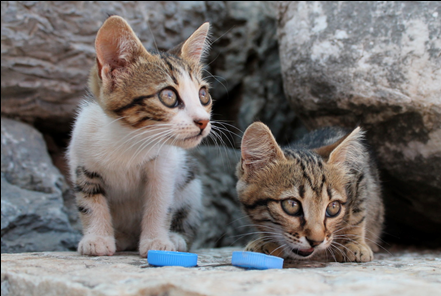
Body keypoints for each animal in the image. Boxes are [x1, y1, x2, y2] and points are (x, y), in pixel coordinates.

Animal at [68, 16, 212, 256]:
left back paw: (176, 237)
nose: (203, 121)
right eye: (168, 96)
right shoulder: (83, 162)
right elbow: (90, 201)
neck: (128, 139)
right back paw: (122, 238)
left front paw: (157, 241)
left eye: (203, 95)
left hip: (190, 184)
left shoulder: (165, 164)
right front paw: (97, 238)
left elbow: (159, 203)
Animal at [235, 121, 384, 262]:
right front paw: (267, 241)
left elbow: (358, 214)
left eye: (333, 207)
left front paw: (352, 243)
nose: (316, 241)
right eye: (291, 205)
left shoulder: (359, 178)